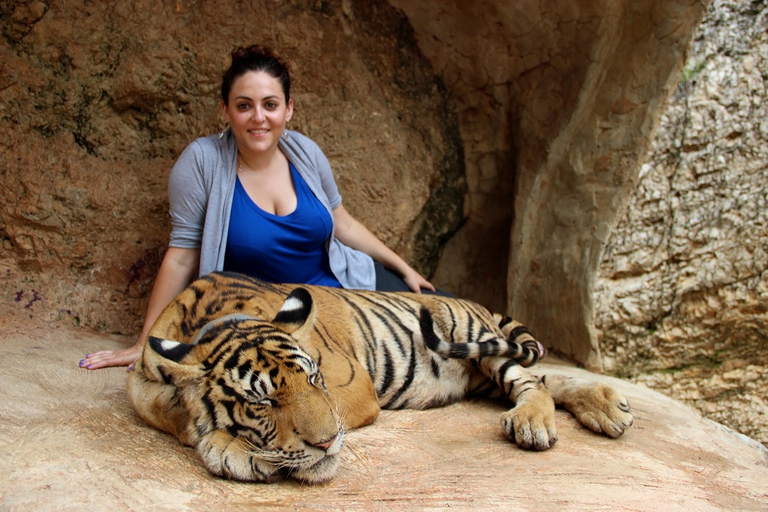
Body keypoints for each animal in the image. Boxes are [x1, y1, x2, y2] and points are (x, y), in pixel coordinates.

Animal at [124, 272, 632, 484]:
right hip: (480, 371)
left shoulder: (352, 384)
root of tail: (478, 304)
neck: (218, 320)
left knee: (531, 383)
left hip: (471, 339)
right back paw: (609, 409)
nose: (328, 444)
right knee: (545, 379)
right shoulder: (140, 377)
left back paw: (538, 422)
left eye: (314, 381)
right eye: (262, 403)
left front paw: (230, 448)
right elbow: (166, 405)